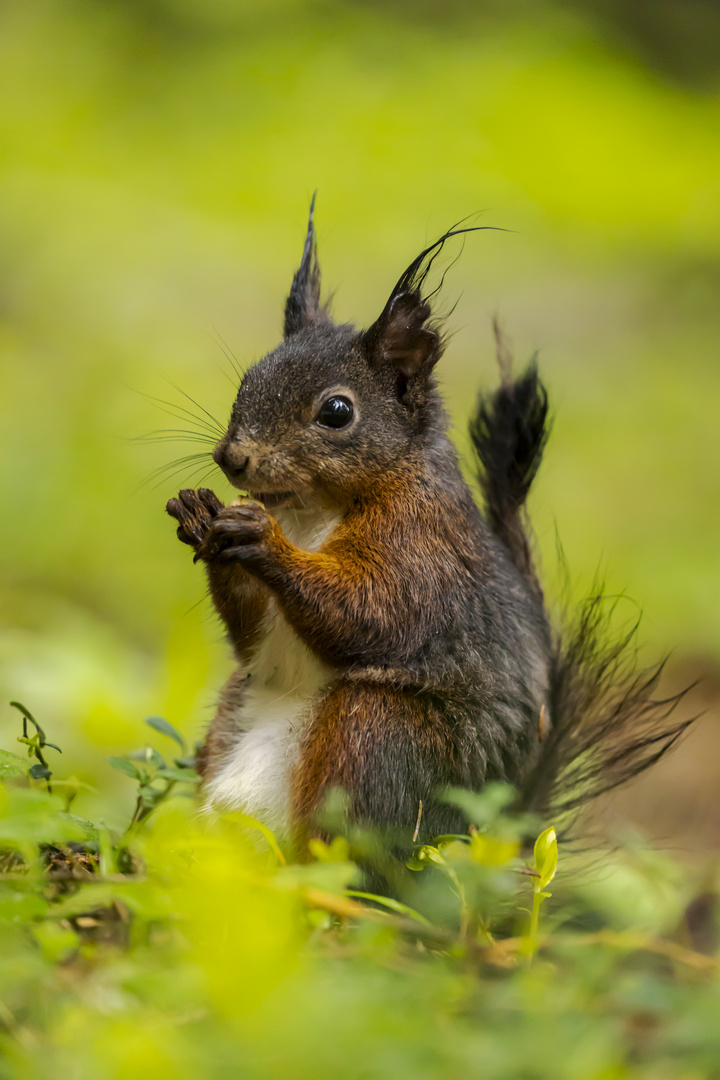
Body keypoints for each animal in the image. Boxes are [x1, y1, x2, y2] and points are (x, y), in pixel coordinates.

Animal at [166, 198, 690, 846]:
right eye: (247, 381)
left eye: (336, 411)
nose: (232, 457)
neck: (311, 510)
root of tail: (499, 830)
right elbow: (254, 633)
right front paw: (198, 514)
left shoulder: (424, 547)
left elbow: (371, 612)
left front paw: (264, 540)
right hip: (231, 715)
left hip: (380, 733)